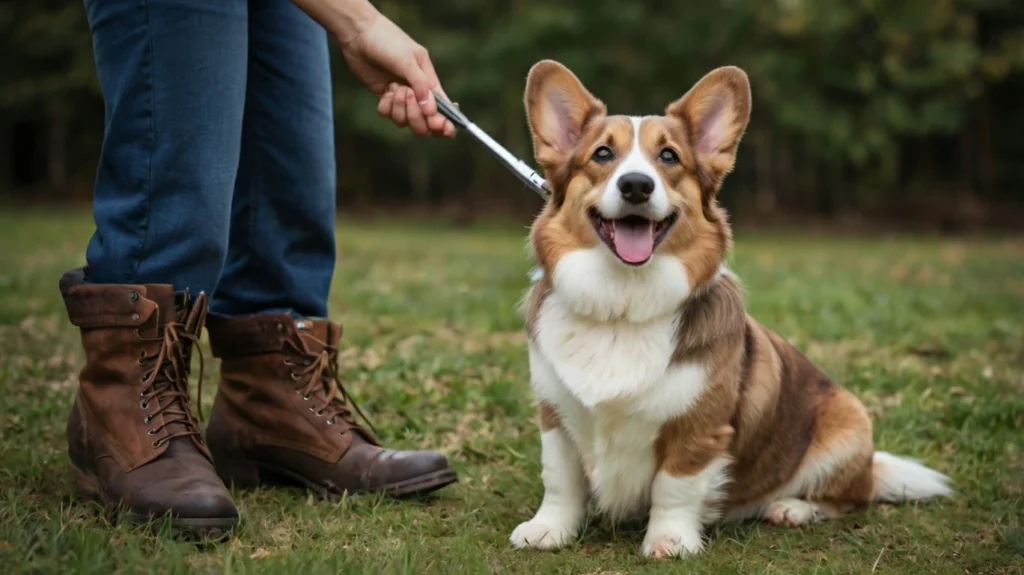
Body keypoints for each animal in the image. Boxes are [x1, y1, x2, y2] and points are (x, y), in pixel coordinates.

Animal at [512, 59, 950, 556]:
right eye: (603, 154)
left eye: (669, 158)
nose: (637, 185)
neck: (622, 304)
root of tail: (870, 465)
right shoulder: (556, 418)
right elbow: (560, 480)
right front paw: (548, 530)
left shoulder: (699, 429)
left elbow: (674, 486)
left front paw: (669, 542)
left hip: (848, 425)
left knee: (848, 499)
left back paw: (793, 508)